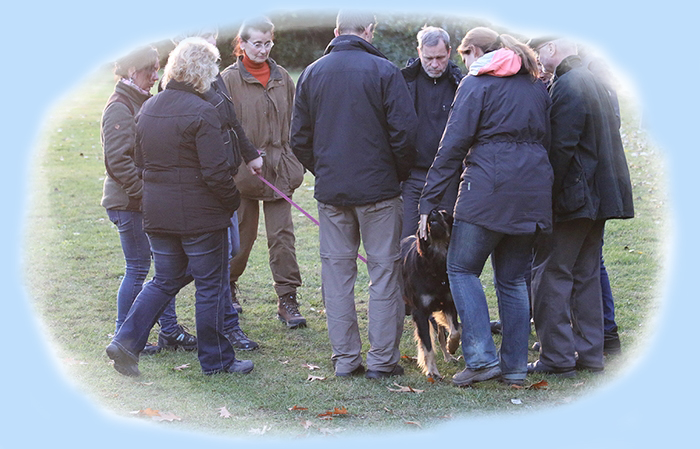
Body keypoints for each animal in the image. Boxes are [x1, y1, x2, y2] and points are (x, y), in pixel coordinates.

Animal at [401, 209, 461, 379]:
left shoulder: (449, 304)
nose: (433, 211)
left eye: (445, 214)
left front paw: (452, 346)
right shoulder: (420, 312)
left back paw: (448, 356)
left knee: (441, 334)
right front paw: (432, 371)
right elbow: (427, 346)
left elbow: (455, 330)